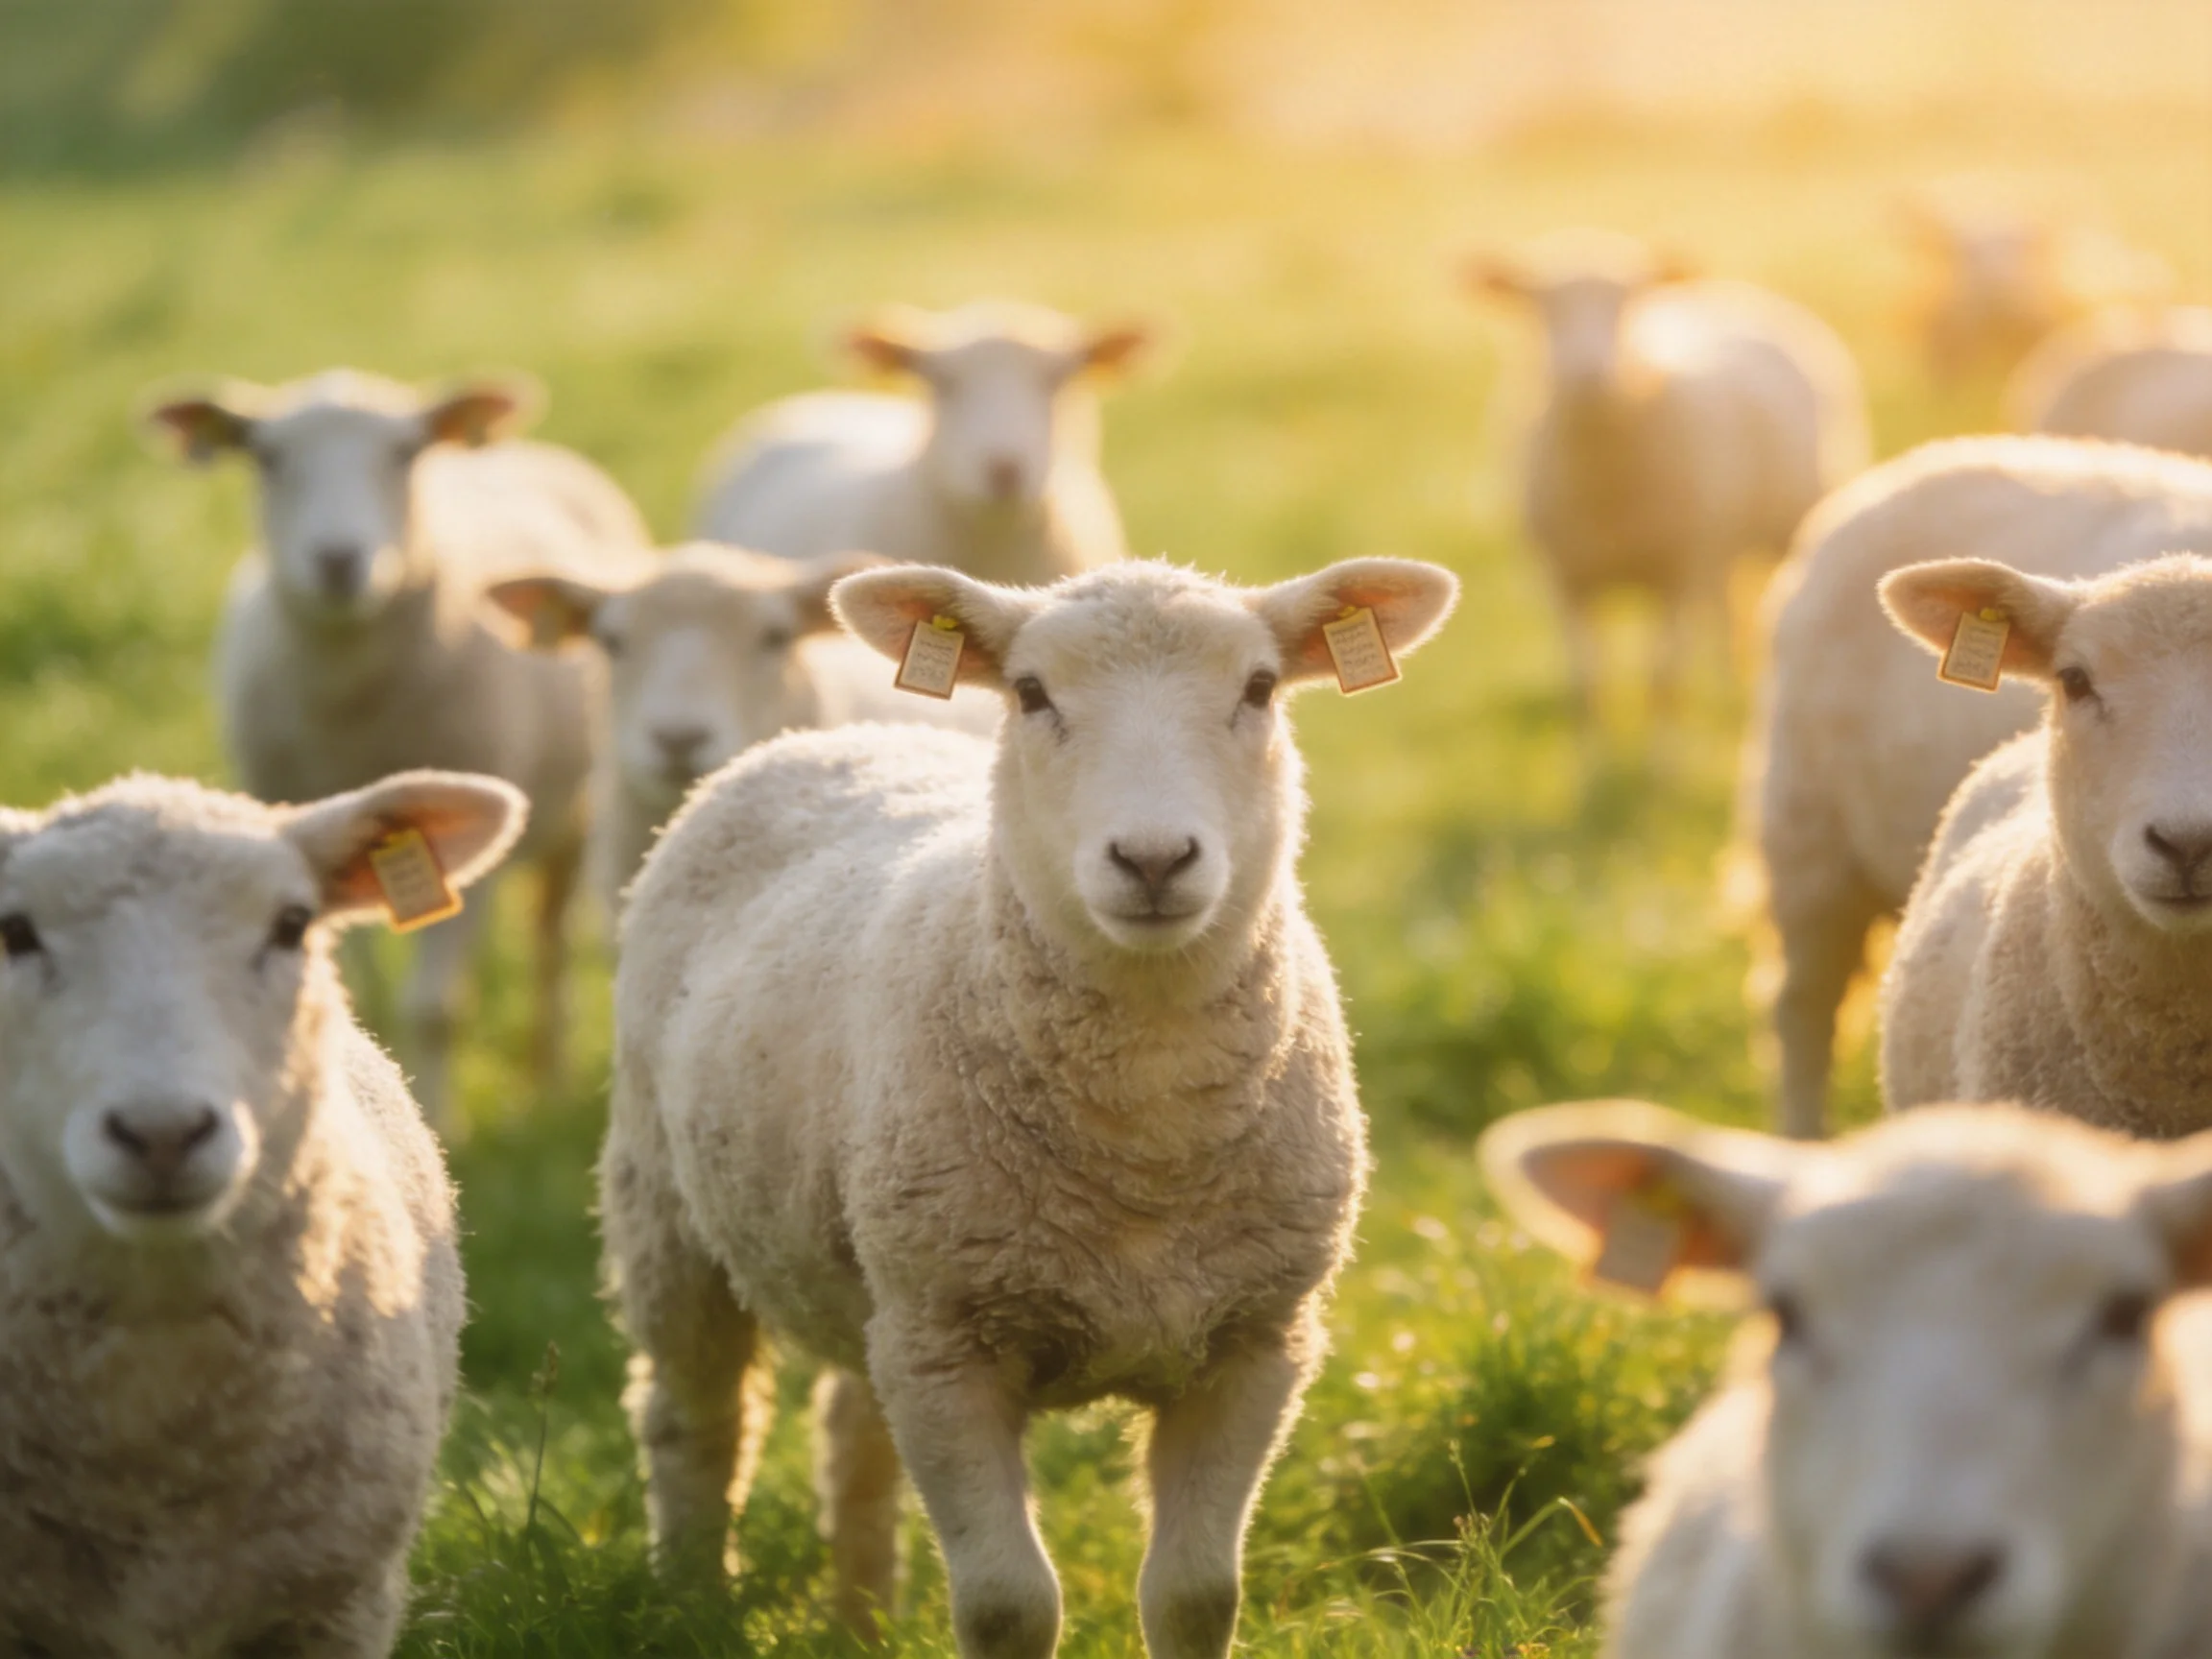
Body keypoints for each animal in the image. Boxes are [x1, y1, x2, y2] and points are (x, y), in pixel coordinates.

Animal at [146, 368, 649, 1127]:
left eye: (405, 452)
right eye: (266, 456)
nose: (337, 560)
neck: (352, 715)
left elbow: (435, 1008)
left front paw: (437, 1119)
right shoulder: (307, 829)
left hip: (573, 813)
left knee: (550, 944)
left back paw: (549, 1073)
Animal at [601, 554, 1458, 1656]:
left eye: (1262, 688)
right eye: (1032, 693)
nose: (1152, 859)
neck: (1146, 1139)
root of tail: (828, 739)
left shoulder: (1257, 1340)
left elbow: (1195, 1595)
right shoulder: (951, 1351)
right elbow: (1009, 1604)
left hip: (875, 1270)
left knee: (851, 1429)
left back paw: (863, 1617)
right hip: (668, 1212)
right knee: (693, 1421)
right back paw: (693, 1600)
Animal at [1469, 230, 1869, 722]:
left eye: (1627, 300)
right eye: (1540, 304)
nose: (1585, 376)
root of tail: (1730, 294)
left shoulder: (1676, 576)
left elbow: (1664, 680)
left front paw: (1666, 746)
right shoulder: (1566, 580)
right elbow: (1586, 685)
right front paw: (1592, 746)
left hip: (1785, 528)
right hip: (1718, 549)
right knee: (1723, 610)